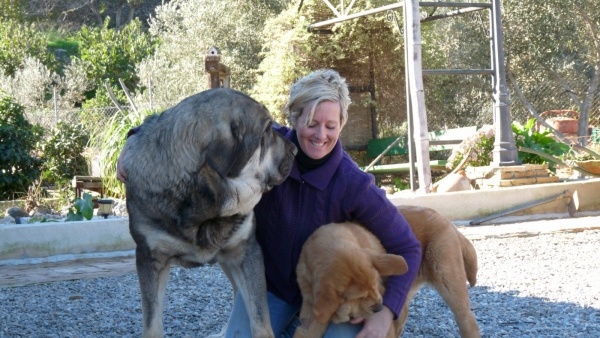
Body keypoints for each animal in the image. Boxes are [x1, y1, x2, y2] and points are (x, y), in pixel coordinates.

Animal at [123, 88, 296, 338]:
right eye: (266, 130)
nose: (296, 149)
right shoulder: (150, 259)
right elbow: (152, 323)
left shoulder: (247, 252)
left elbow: (260, 318)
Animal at [292, 205, 480, 336]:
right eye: (358, 297)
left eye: (376, 286)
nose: (379, 308)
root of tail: (445, 219)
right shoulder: (311, 314)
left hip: (448, 281)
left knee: (468, 320)